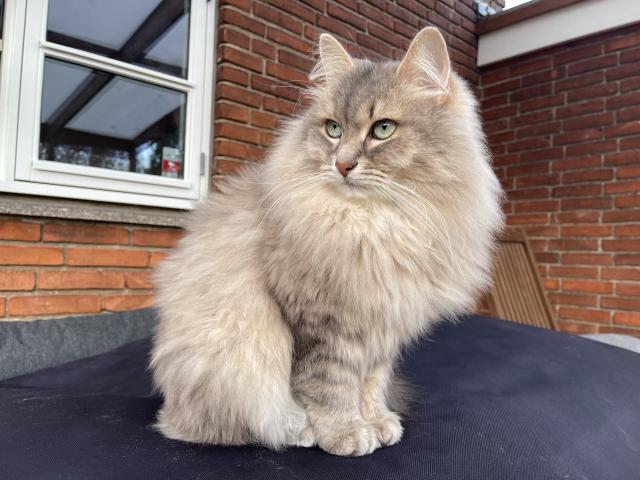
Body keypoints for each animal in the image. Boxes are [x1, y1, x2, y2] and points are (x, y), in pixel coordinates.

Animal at [151, 27, 504, 458]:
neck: (376, 226)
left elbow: (370, 385)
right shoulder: (321, 323)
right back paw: (296, 431)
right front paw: (344, 433)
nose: (343, 164)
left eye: (383, 129)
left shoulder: (382, 326)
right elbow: (329, 388)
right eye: (333, 129)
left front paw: (377, 421)